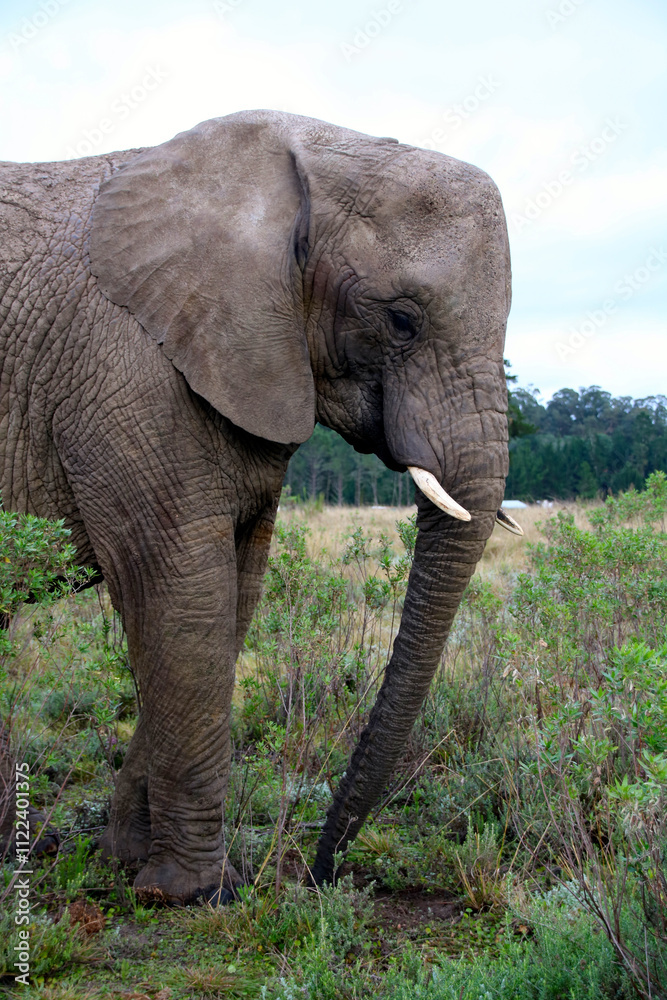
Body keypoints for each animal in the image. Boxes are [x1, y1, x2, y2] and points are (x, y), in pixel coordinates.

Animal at [0, 109, 520, 903]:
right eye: (401, 320)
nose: (318, 871)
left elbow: (232, 600)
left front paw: (128, 864)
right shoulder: (123, 372)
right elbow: (182, 595)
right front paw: (193, 894)